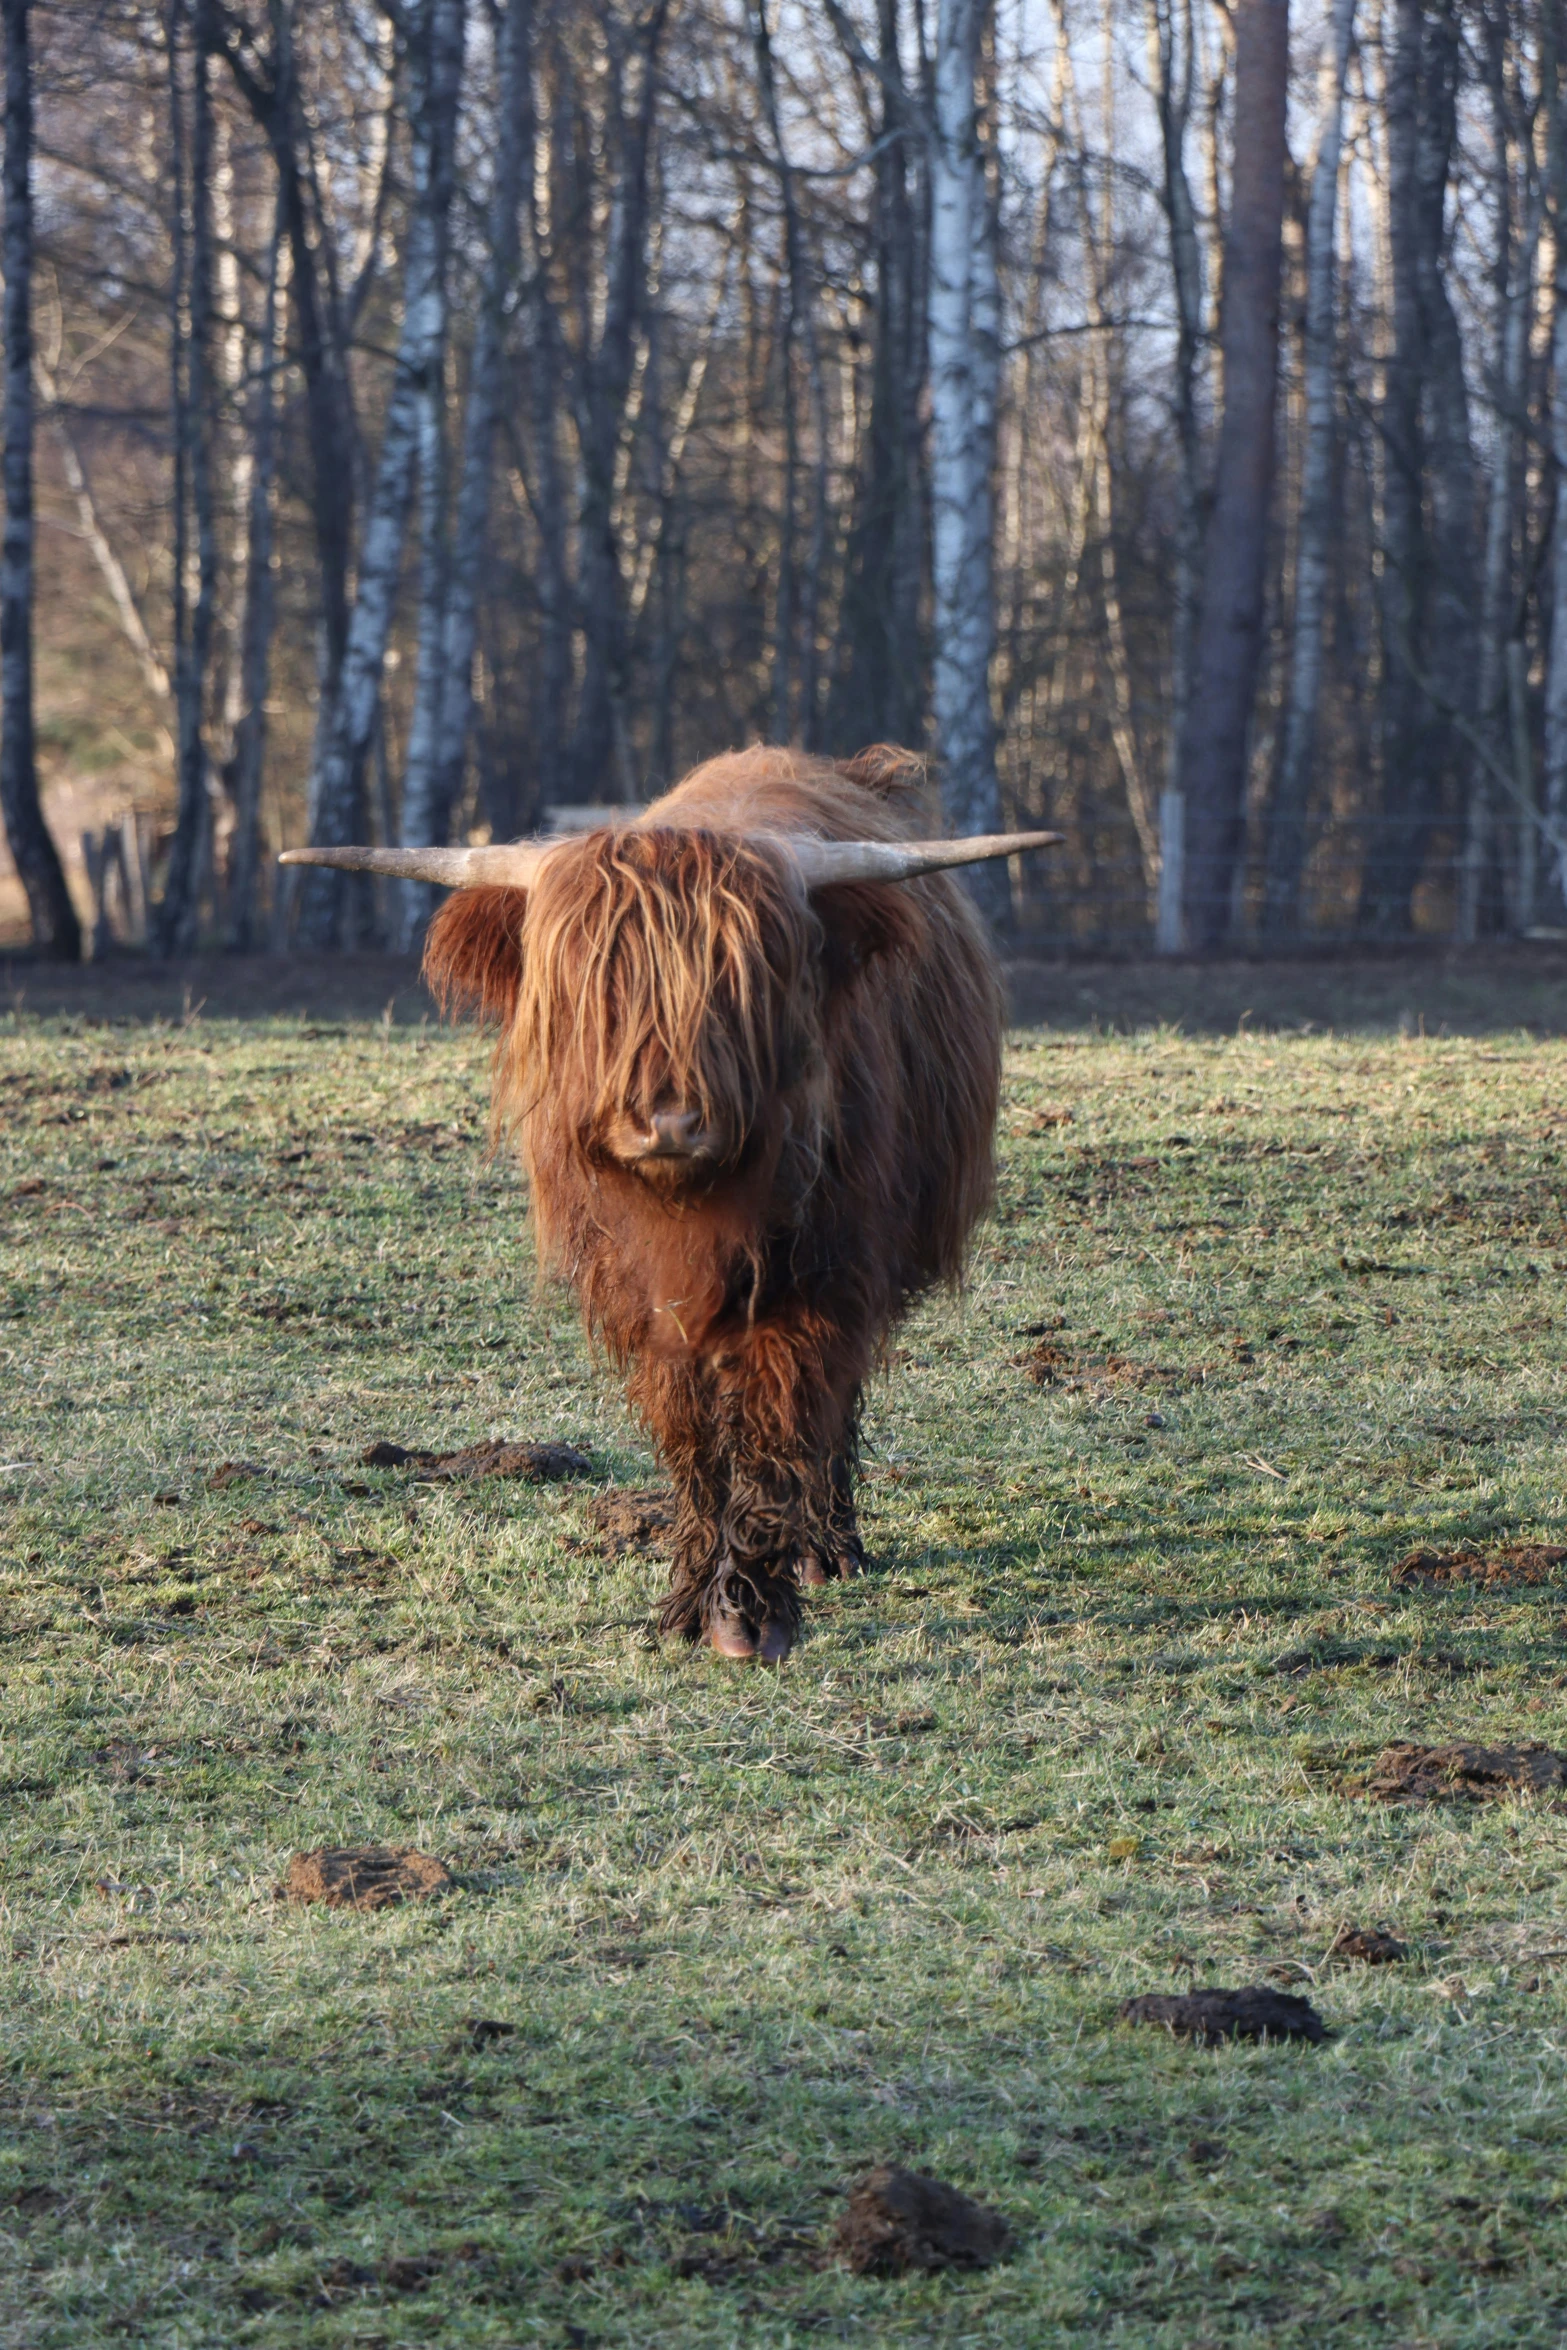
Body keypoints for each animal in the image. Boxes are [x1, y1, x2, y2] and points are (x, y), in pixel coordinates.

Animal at [287, 742, 1061, 1663]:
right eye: (596, 986)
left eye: (737, 987)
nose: (668, 1120)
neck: (692, 1214)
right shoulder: (640, 1297)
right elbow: (692, 1437)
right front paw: (694, 1597)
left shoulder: (823, 1275)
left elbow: (776, 1429)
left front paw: (752, 1610)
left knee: (833, 1409)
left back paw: (827, 1545)